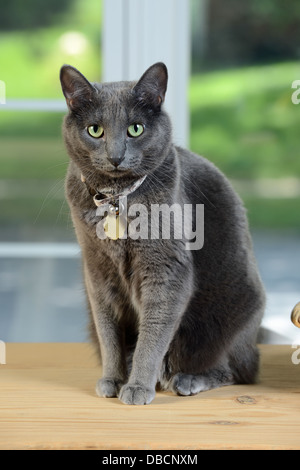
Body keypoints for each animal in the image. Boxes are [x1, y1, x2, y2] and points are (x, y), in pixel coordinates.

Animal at [60, 62, 264, 406]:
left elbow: (153, 331)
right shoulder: (97, 270)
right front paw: (113, 379)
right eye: (95, 130)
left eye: (136, 129)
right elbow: (108, 331)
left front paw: (138, 385)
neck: (117, 198)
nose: (115, 157)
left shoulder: (166, 267)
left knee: (235, 370)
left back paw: (187, 379)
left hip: (233, 315)